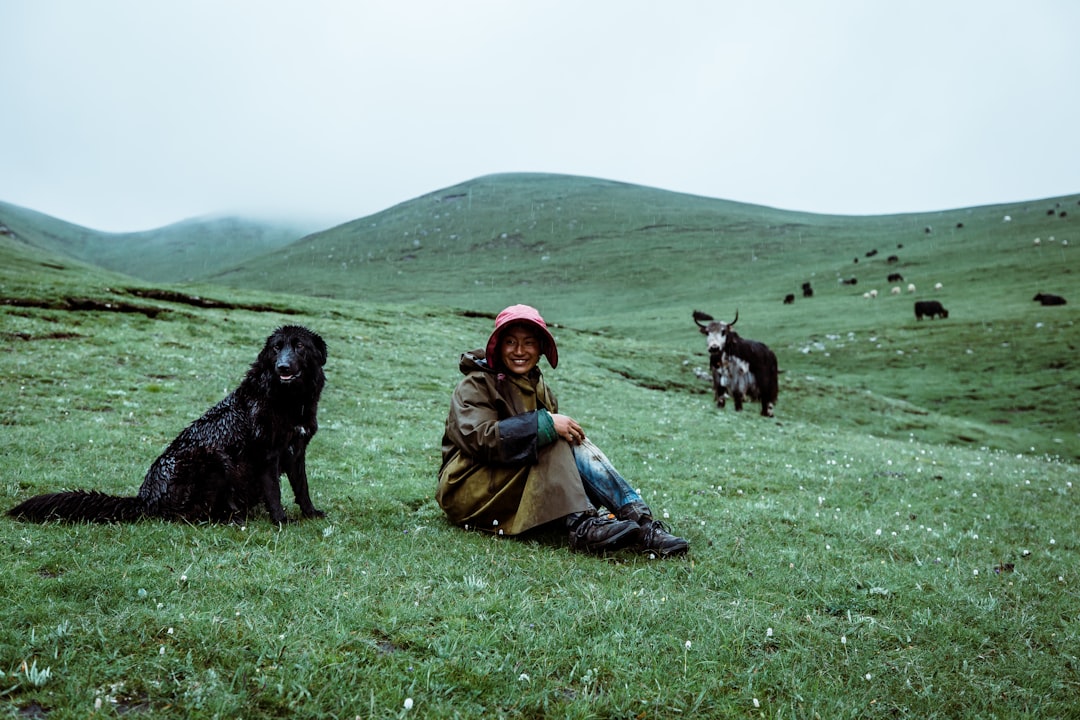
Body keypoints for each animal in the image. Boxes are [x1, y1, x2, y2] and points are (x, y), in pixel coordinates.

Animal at [8, 325, 326, 524]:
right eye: (276, 349)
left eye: (299, 346)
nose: (282, 367)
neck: (288, 400)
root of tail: (144, 499)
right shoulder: (267, 455)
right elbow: (275, 492)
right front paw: (281, 521)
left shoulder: (297, 450)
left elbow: (303, 488)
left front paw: (310, 514)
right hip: (211, 458)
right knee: (191, 514)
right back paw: (230, 519)